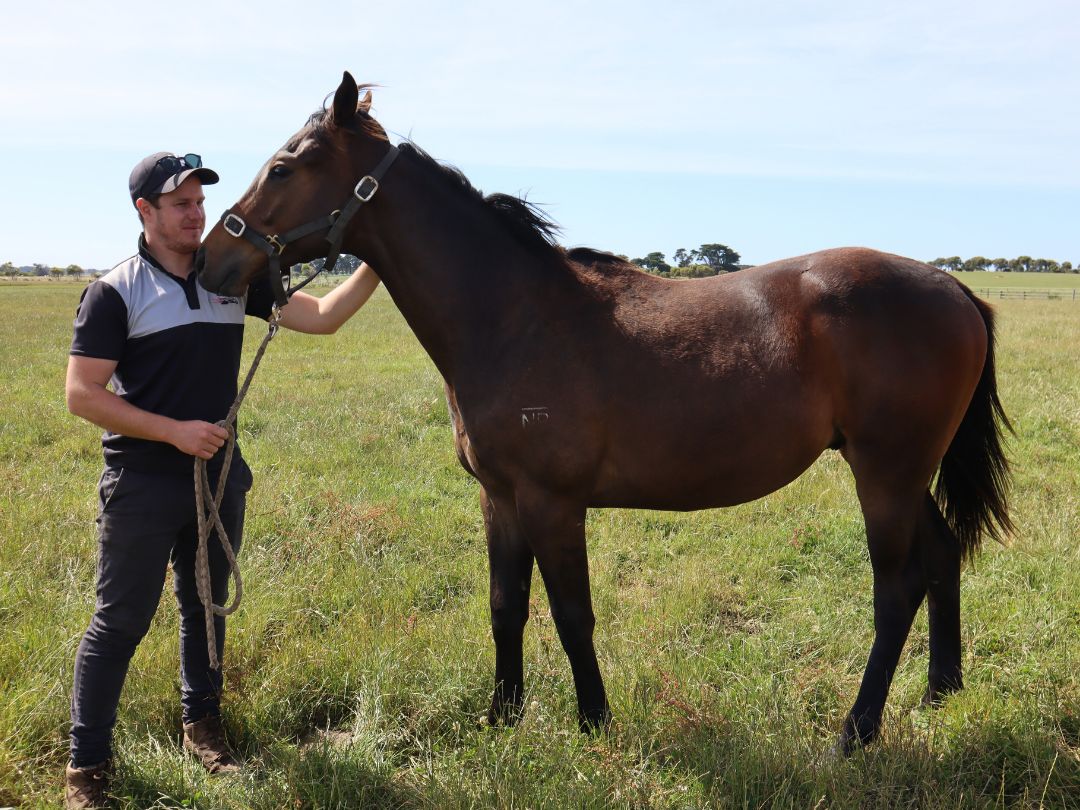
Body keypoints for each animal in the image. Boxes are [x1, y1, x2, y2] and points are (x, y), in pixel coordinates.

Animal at [196, 72, 1010, 751]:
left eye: (283, 168)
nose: (210, 263)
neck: (515, 316)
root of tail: (951, 286)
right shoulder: (500, 498)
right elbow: (506, 605)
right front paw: (501, 717)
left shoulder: (553, 502)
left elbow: (571, 613)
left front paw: (593, 722)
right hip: (903, 475)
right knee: (942, 558)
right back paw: (940, 693)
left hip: (886, 477)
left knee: (897, 590)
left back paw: (857, 730)